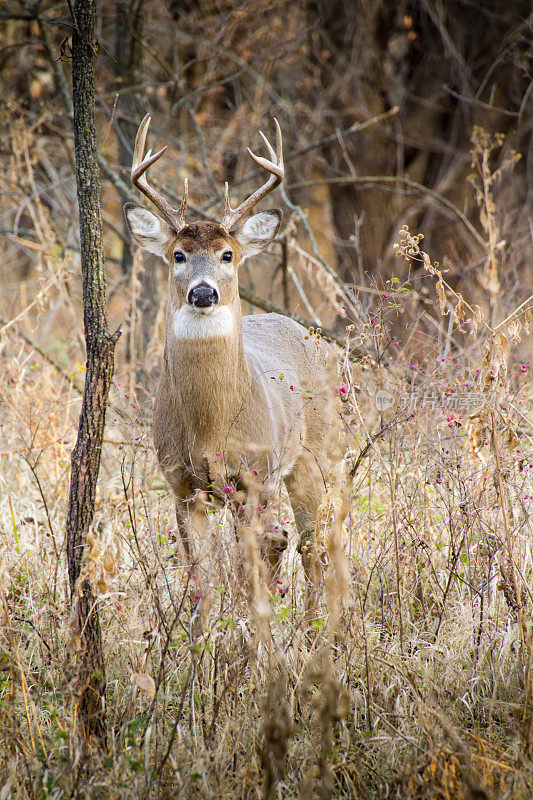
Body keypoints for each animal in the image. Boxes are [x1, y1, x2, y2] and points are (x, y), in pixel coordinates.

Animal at [123, 114, 336, 580]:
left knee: (309, 544)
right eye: (178, 255)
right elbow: (201, 575)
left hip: (312, 456)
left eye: (227, 254)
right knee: (286, 543)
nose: (203, 293)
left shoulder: (253, 479)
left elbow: (245, 570)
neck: (210, 430)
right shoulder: (180, 484)